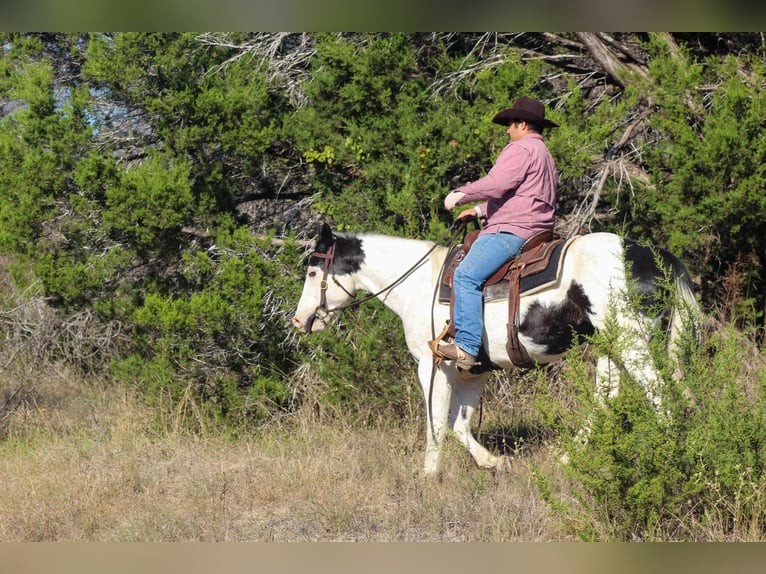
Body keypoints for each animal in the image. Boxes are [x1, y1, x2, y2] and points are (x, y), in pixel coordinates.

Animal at [292, 222, 700, 476]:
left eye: (312, 272)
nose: (300, 320)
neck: (419, 283)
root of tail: (652, 255)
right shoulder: (473, 370)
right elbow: (459, 424)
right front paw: (494, 463)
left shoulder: (433, 363)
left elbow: (436, 420)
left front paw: (429, 474)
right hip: (610, 345)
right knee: (607, 397)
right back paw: (569, 457)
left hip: (632, 342)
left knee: (657, 392)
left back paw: (668, 455)